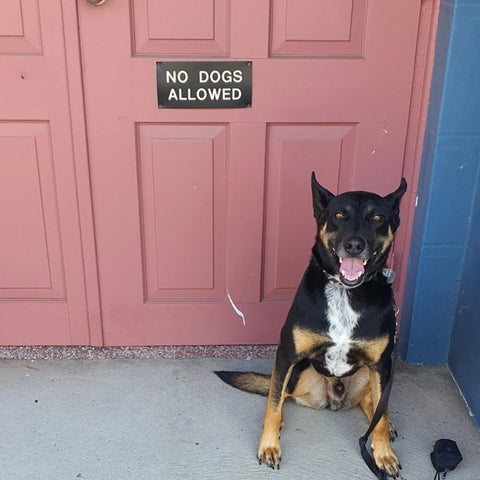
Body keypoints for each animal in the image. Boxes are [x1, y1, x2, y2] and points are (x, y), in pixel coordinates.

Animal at [216, 172, 406, 476]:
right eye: (339, 215)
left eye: (377, 217)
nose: (354, 245)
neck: (344, 290)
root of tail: (335, 396)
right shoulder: (286, 354)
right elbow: (273, 403)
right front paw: (269, 446)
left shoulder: (382, 365)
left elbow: (380, 412)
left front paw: (383, 452)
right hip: (300, 373)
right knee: (281, 392)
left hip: (373, 374)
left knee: (374, 404)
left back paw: (387, 425)